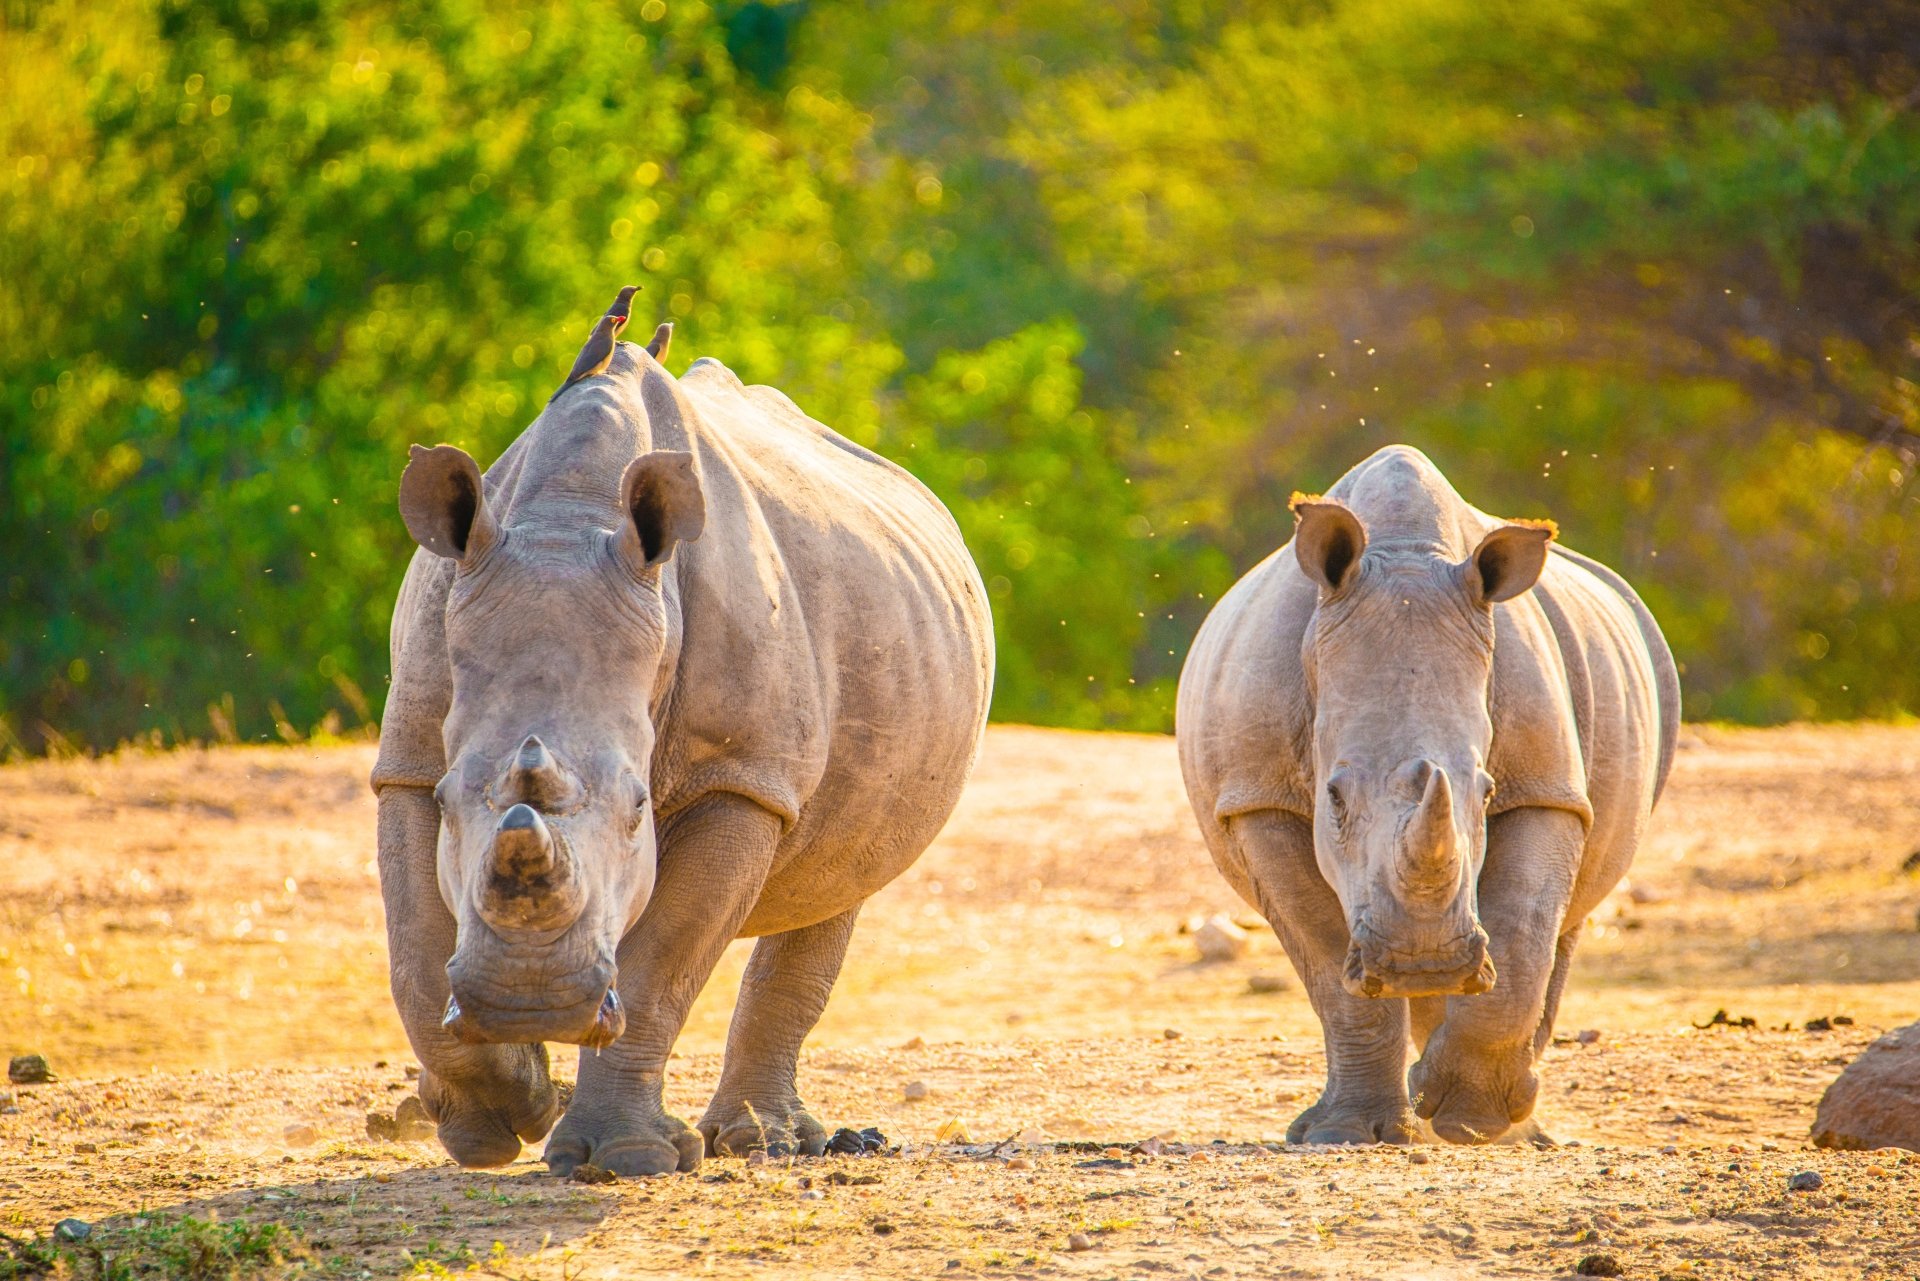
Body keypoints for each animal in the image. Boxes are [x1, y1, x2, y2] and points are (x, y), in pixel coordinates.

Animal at [371, 296, 994, 1173]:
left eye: (640, 809)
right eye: (453, 800)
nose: (533, 1002)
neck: (569, 517)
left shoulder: (740, 776)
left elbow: (662, 962)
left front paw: (621, 1155)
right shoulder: (409, 754)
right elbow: (417, 957)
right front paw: (497, 1116)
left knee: (844, 875)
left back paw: (765, 1142)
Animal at [1177, 446, 1677, 1144]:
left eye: (1487, 793)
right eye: (1333, 798)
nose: (1424, 962)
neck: (1405, 552)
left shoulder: (1544, 787)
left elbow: (1525, 929)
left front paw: (1470, 1119)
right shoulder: (1257, 798)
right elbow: (1327, 963)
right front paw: (1346, 1133)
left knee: (1567, 922)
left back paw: (1513, 1129)